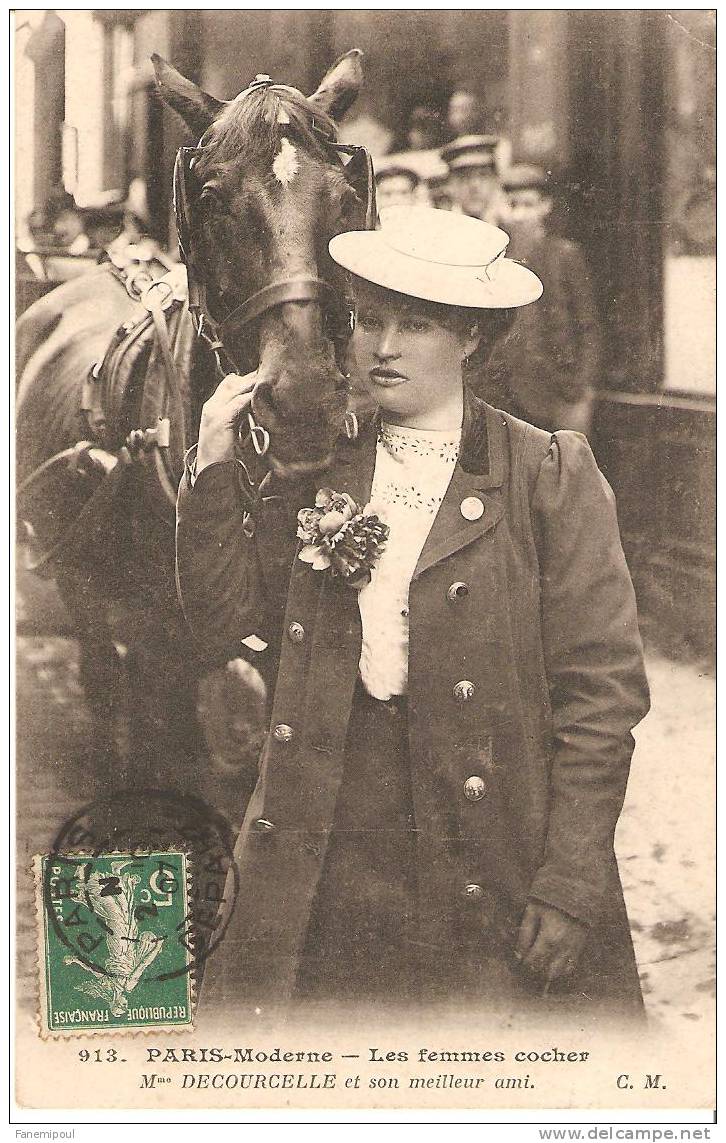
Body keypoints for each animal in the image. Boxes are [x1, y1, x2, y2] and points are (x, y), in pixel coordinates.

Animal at [17, 51, 375, 813]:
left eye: (343, 197)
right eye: (211, 197)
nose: (301, 401)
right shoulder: (160, 645)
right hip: (81, 582)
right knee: (102, 677)